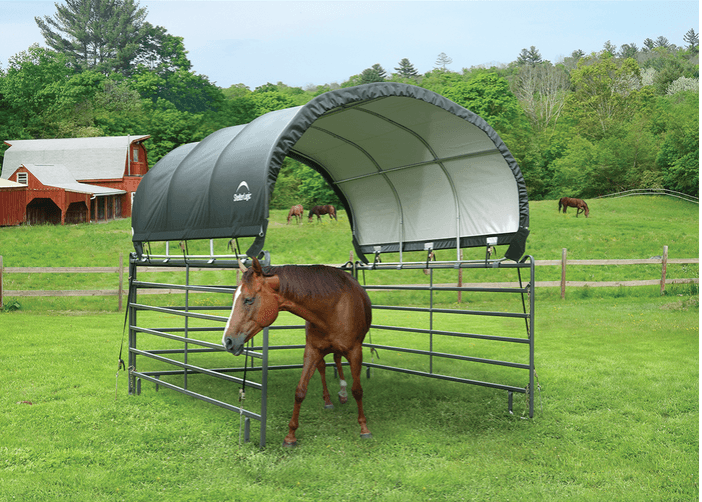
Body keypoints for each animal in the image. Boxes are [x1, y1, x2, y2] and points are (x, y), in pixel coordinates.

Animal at [221, 256, 374, 446]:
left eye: (248, 300)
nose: (227, 341)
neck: (332, 309)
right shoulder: (312, 351)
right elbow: (300, 391)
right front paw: (290, 435)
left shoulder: (355, 352)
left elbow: (358, 390)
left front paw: (364, 428)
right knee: (326, 365)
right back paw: (331, 399)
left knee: (338, 361)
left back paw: (343, 393)